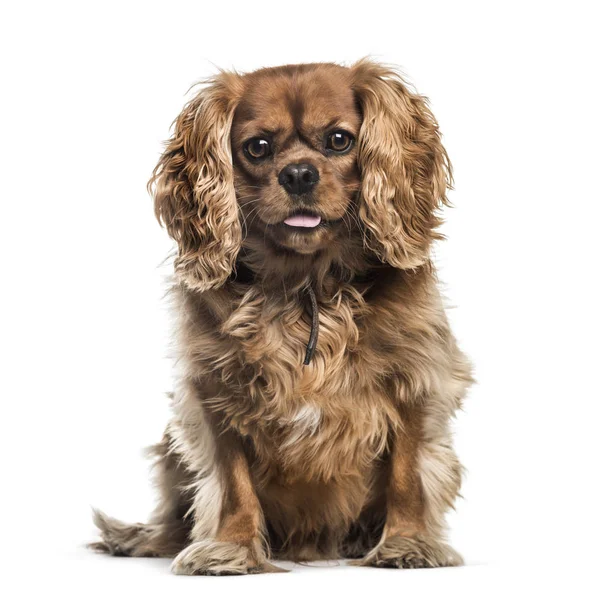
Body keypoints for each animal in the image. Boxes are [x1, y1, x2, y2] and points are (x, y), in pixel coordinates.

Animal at [91, 58, 472, 576]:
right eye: (258, 147)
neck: (306, 287)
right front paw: (230, 548)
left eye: (339, 140)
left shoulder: (418, 384)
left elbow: (407, 475)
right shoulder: (213, 394)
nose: (298, 174)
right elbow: (233, 484)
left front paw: (407, 544)